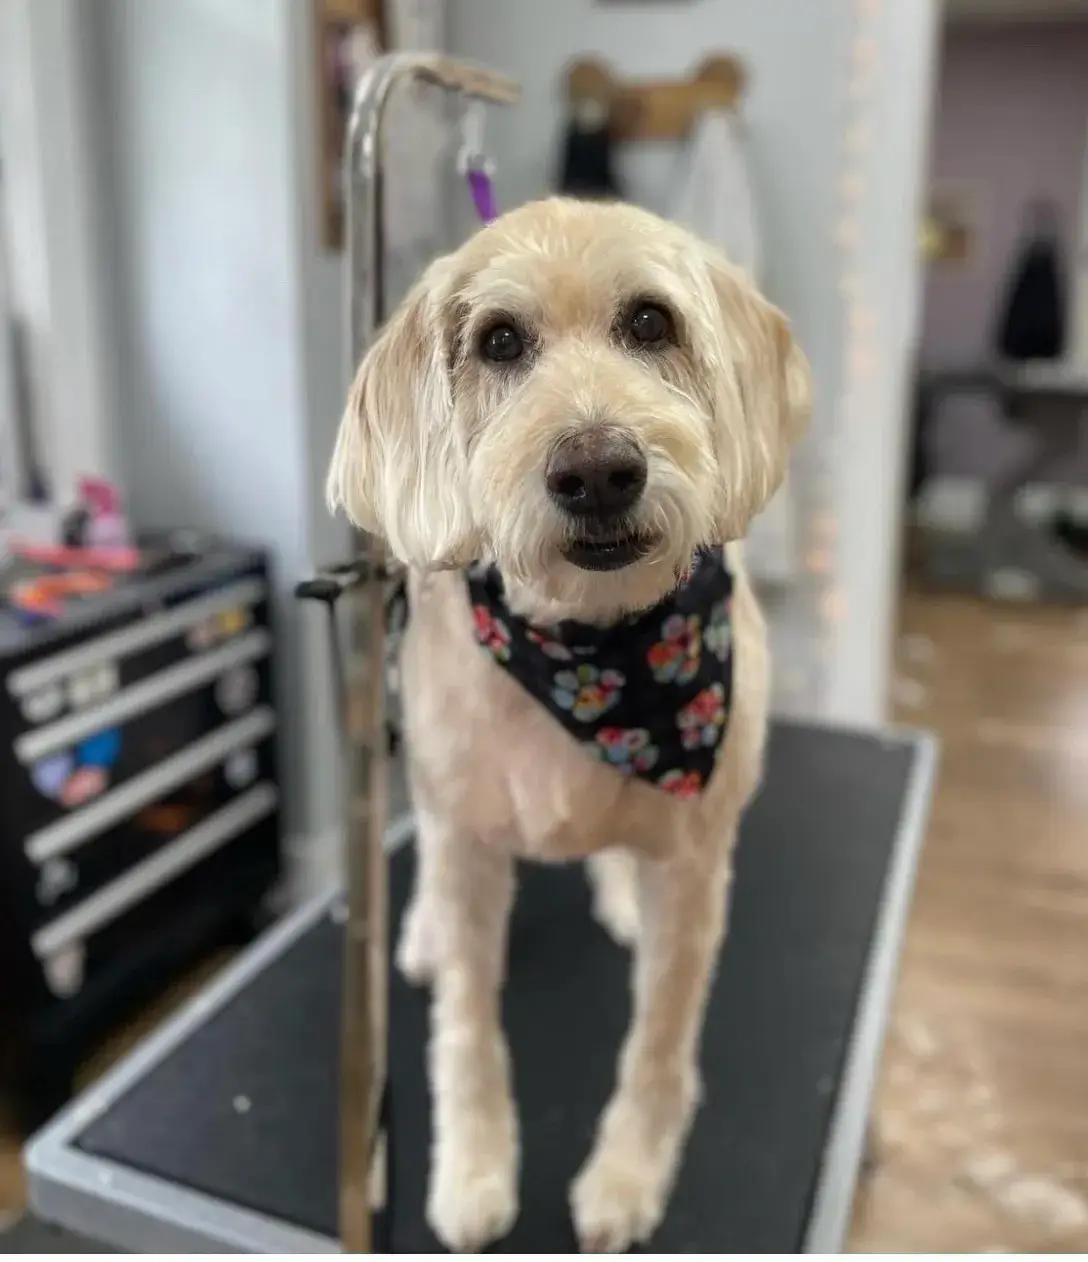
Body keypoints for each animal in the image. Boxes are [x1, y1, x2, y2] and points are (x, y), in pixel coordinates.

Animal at [328, 196, 812, 1251]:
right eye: (499, 341)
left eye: (650, 322)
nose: (597, 471)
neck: (594, 657)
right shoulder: (469, 844)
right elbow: (467, 1030)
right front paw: (473, 1169)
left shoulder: (697, 868)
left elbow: (660, 1040)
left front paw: (628, 1174)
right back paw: (419, 932)